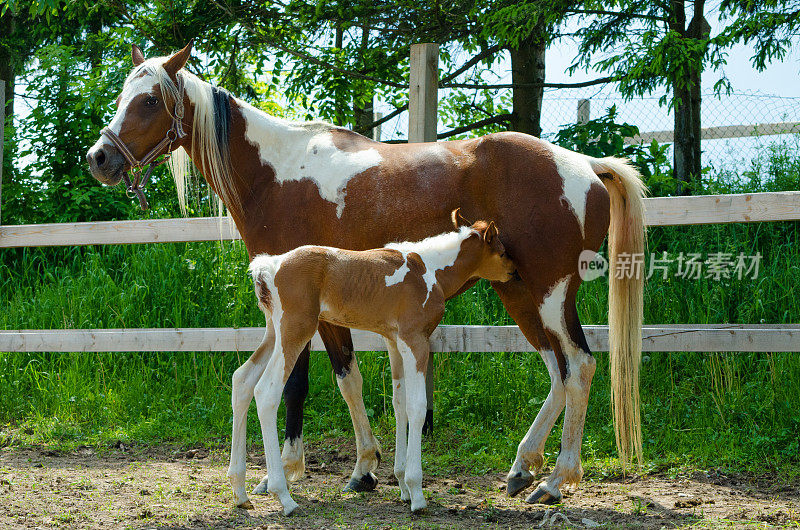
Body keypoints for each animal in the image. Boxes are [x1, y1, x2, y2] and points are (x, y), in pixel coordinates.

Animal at [234, 212, 516, 512]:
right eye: (501, 251)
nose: (514, 271)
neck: (429, 269)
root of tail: (270, 265)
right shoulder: (415, 340)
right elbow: (417, 407)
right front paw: (417, 493)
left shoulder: (394, 342)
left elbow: (399, 404)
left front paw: (403, 485)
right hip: (295, 331)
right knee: (266, 392)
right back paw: (283, 497)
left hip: (273, 333)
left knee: (242, 379)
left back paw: (240, 492)